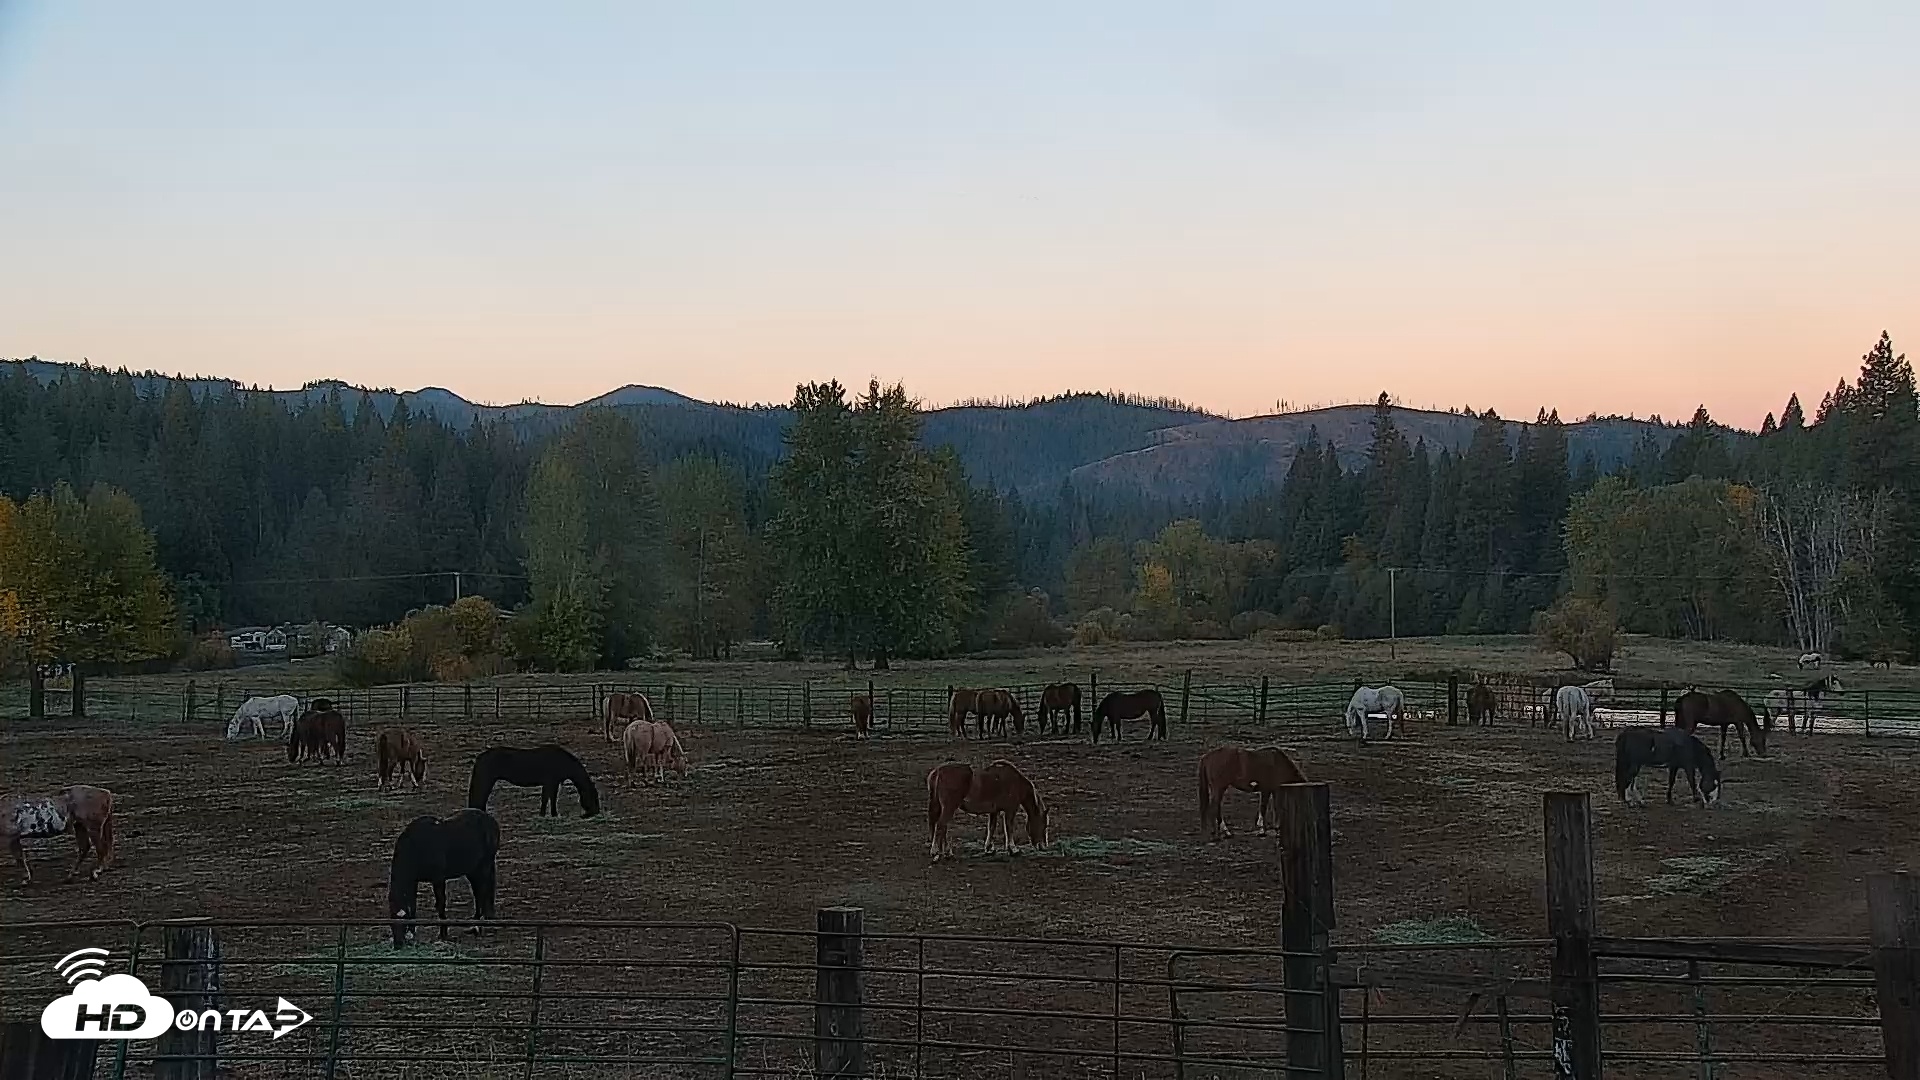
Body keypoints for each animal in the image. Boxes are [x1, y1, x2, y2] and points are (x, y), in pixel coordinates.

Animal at [388, 809, 499, 948]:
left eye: (401, 917)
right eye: (391, 919)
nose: (398, 944)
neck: (416, 846)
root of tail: (490, 819)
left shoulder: (438, 879)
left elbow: (441, 905)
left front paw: (443, 934)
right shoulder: (413, 881)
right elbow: (412, 905)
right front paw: (412, 934)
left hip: (484, 866)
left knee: (482, 893)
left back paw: (478, 927)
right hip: (473, 871)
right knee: (478, 894)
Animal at [468, 746, 601, 818]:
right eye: (594, 797)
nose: (596, 812)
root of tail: (480, 757)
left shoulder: (551, 783)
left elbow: (548, 798)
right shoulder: (551, 783)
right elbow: (549, 798)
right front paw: (552, 814)